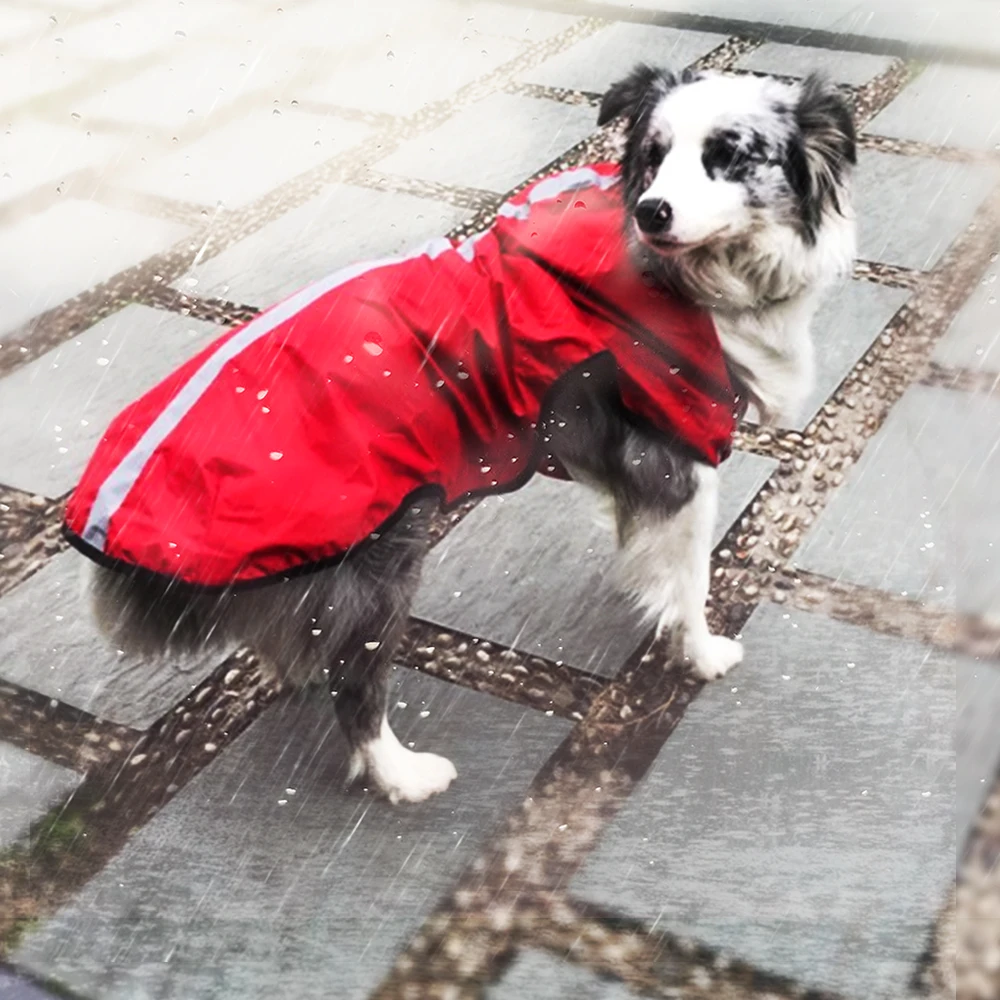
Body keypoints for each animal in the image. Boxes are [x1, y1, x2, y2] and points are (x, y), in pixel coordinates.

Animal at [86, 64, 856, 804]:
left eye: (730, 155)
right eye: (655, 156)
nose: (652, 211)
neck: (682, 277)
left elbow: (641, 538)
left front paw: (643, 583)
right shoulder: (682, 448)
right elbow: (692, 577)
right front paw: (699, 652)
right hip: (380, 565)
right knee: (357, 688)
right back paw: (402, 776)